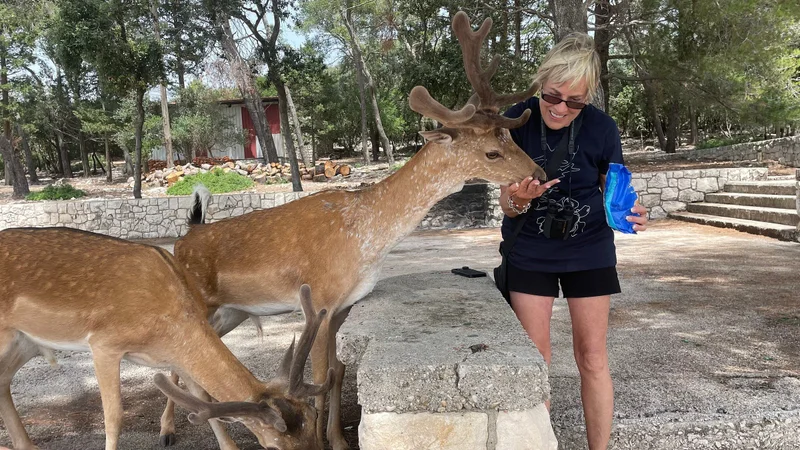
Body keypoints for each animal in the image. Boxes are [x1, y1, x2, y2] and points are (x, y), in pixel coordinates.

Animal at [0, 227, 334, 450]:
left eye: (314, 418)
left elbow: (203, 399)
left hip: (24, 342)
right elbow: (114, 417)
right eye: (274, 446)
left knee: (3, 381)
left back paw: (27, 446)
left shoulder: (175, 356)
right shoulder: (104, 343)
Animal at [158, 11, 546, 450]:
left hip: (232, 311)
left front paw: (339, 439)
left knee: (179, 367)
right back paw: (174, 432)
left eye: (511, 136)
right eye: (492, 152)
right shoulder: (321, 299)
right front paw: (326, 440)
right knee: (183, 369)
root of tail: (184, 239)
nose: (539, 174)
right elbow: (320, 377)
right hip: (200, 306)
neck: (366, 240)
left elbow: (338, 371)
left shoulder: (345, 304)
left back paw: (170, 428)